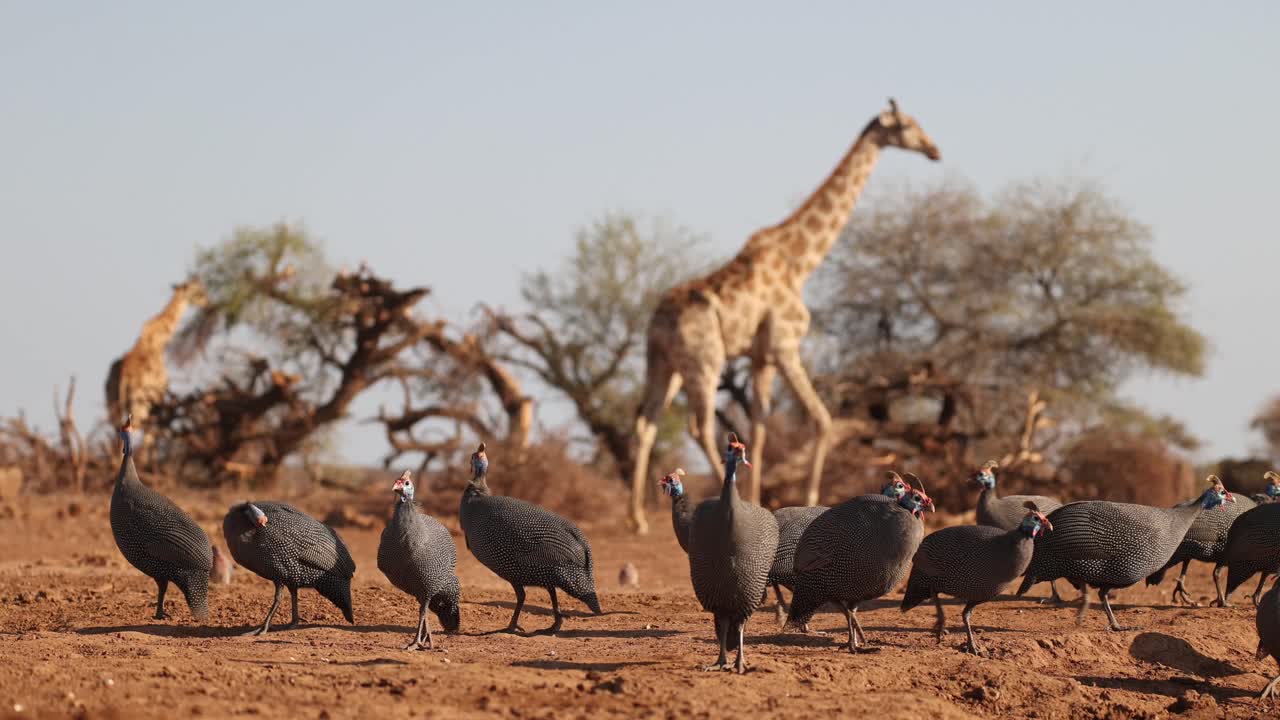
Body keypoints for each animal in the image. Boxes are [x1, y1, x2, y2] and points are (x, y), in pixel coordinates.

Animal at [105, 277, 207, 428]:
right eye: (198, 292)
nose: (208, 302)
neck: (158, 342)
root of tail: (124, 376)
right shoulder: (160, 398)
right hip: (140, 406)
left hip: (113, 408)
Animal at [629, 99, 941, 532]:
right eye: (907, 125)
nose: (934, 150)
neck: (800, 261)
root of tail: (657, 322)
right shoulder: (785, 346)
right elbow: (823, 420)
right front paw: (807, 500)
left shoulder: (761, 356)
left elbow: (758, 430)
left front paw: (761, 500)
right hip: (704, 361)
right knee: (698, 426)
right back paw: (718, 501)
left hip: (663, 364)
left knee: (647, 424)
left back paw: (638, 519)